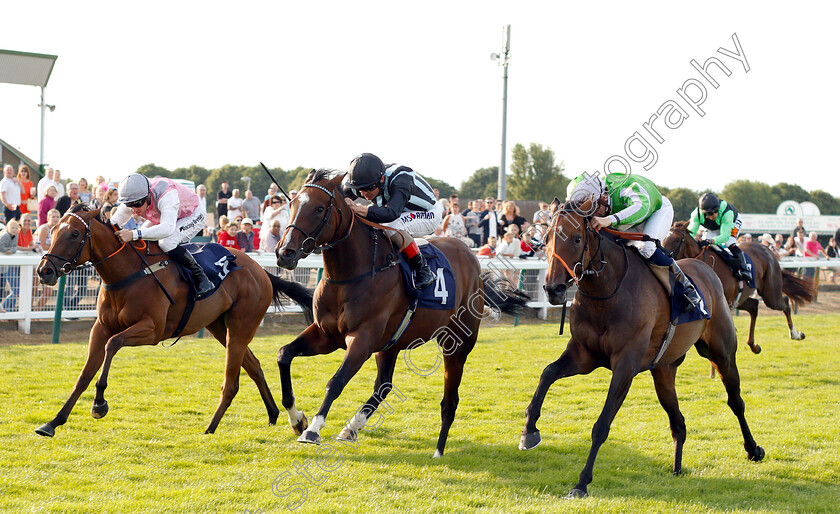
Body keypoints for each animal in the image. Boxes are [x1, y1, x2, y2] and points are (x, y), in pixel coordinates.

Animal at [32, 204, 316, 436]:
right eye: (53, 230)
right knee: (254, 366)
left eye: (74, 234)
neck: (128, 273)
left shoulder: (152, 329)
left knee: (232, 383)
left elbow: (112, 345)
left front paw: (99, 404)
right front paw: (53, 422)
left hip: (240, 328)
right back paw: (276, 415)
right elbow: (84, 374)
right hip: (219, 327)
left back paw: (210, 428)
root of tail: (263, 272)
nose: (44, 270)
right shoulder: (101, 328)